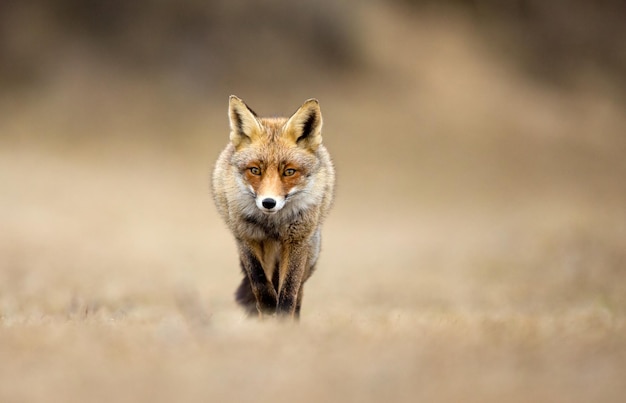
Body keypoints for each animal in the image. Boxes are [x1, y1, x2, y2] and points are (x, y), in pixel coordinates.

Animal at [211, 95, 336, 318]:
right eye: (255, 170)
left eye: (289, 172)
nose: (268, 202)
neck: (273, 223)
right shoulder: (246, 238)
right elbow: (261, 285)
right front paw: (268, 315)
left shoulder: (296, 242)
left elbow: (288, 292)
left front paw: (283, 321)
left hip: (310, 251)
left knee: (299, 292)